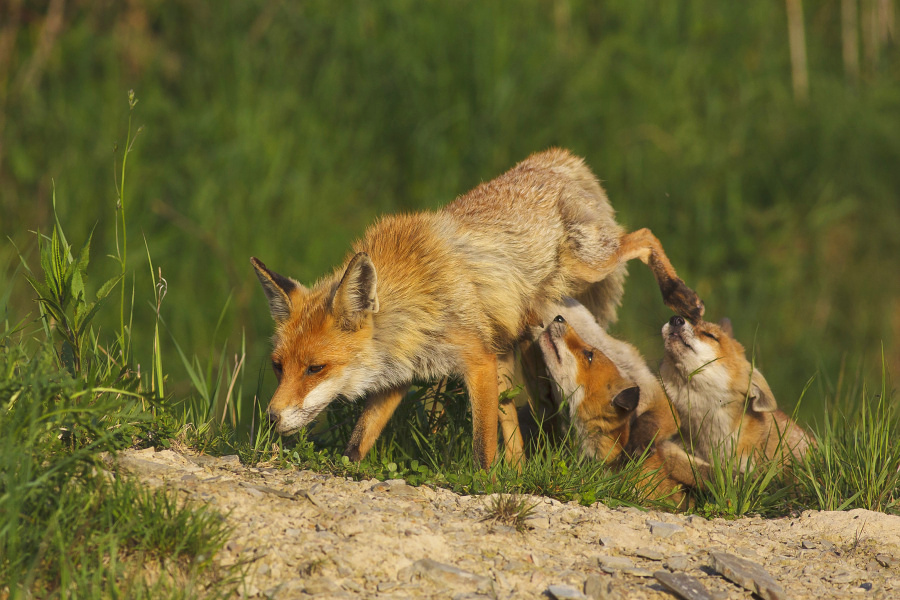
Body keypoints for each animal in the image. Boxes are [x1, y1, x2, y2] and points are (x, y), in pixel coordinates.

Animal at [251, 149, 704, 468]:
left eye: (316, 368)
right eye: (278, 367)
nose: (270, 418)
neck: (412, 302)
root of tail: (553, 157)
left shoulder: (477, 361)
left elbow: (483, 449)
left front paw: (482, 486)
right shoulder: (401, 374)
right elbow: (360, 439)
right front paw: (343, 467)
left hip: (586, 267)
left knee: (644, 236)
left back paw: (681, 295)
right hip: (512, 354)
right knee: (519, 441)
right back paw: (521, 476)